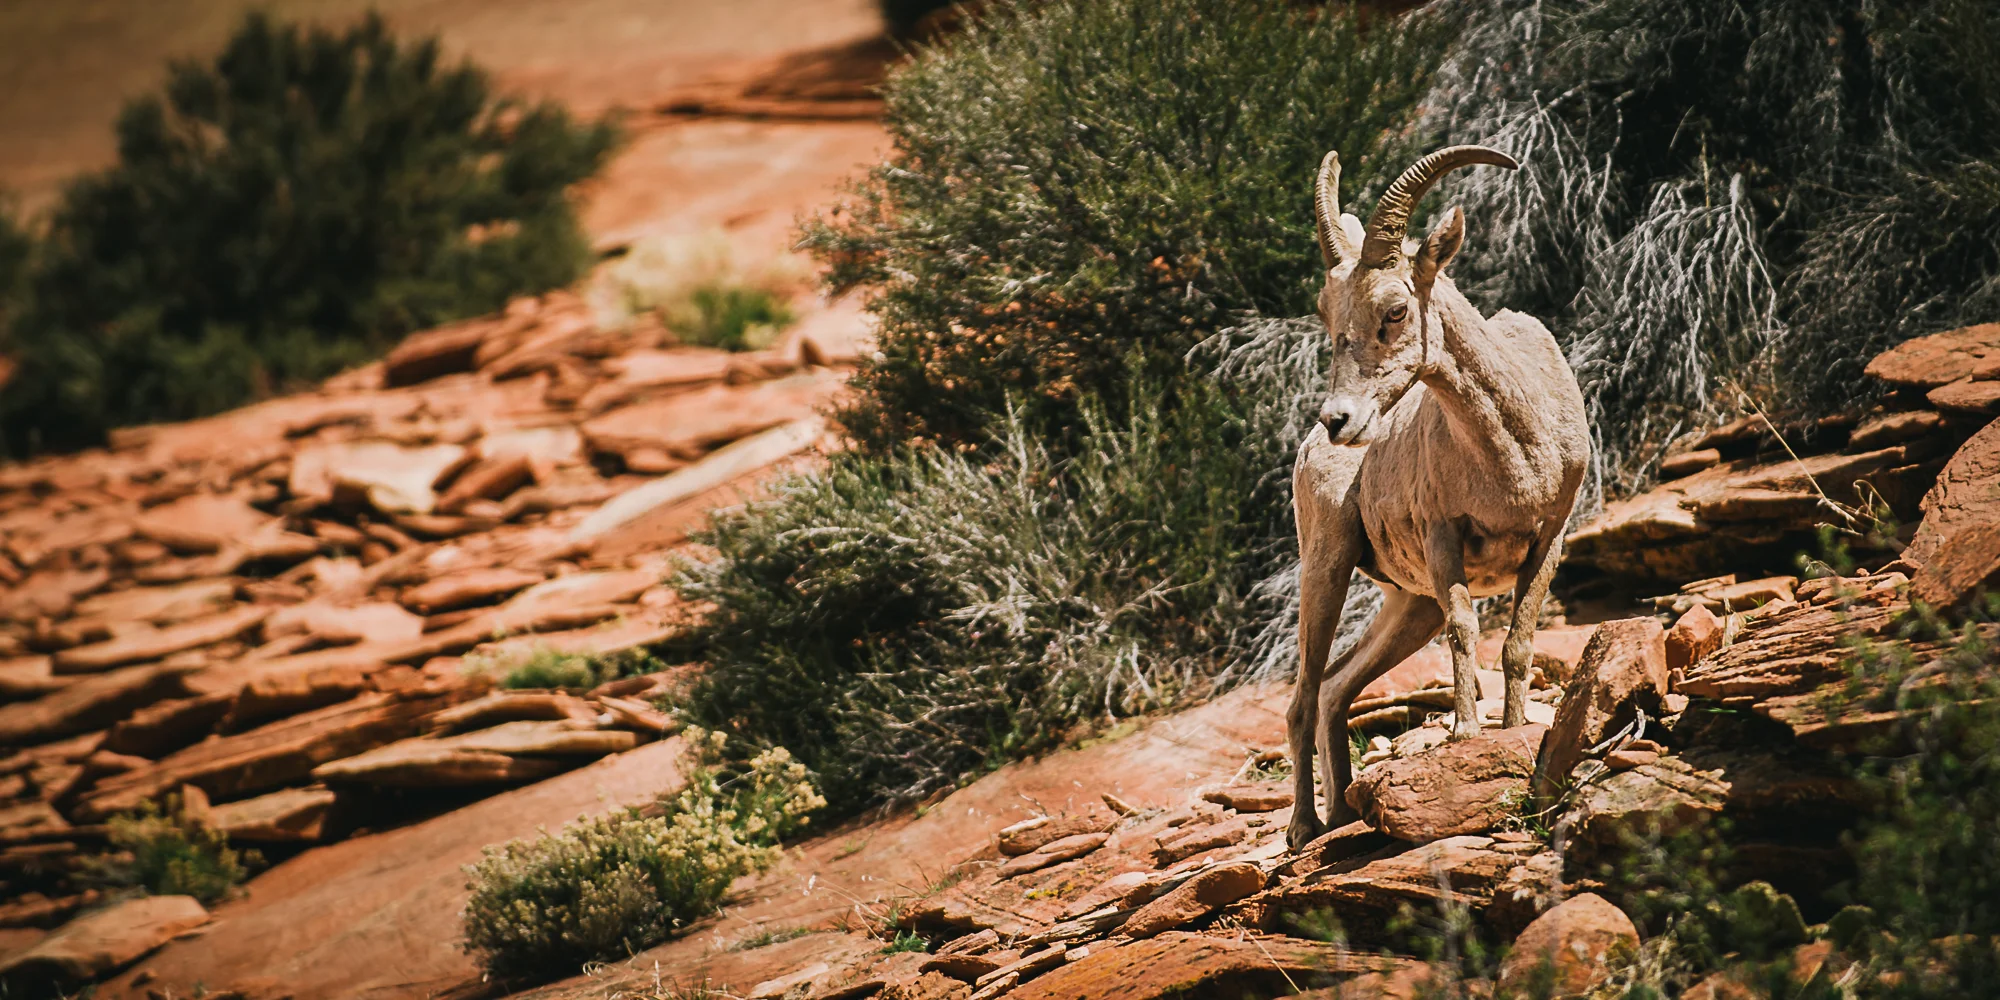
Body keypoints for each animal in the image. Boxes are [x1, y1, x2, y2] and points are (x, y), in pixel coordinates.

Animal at [1285, 145, 1592, 850]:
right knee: (1304, 693)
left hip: (1406, 605)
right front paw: (1467, 733)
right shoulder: (1443, 533)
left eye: (1396, 310)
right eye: (1328, 314)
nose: (1339, 420)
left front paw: (1512, 729)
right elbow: (1466, 629)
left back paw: (1341, 814)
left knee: (1336, 686)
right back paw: (1303, 827)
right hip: (1326, 567)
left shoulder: (1549, 536)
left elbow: (1518, 642)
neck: (1517, 454)